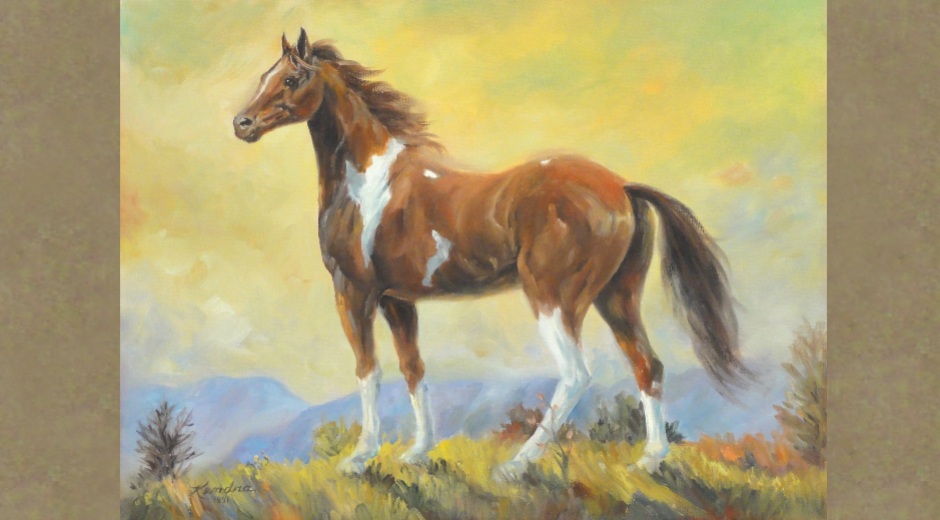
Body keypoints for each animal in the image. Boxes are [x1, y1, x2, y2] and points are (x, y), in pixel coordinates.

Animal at [232, 29, 751, 480]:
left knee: (576, 375)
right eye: (263, 74)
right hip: (617, 298)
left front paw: (359, 457)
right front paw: (417, 453)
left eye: (292, 78)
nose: (242, 124)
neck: (368, 181)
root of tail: (621, 187)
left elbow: (368, 370)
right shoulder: (397, 299)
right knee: (647, 366)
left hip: (554, 299)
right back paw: (649, 462)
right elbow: (413, 369)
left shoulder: (354, 291)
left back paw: (515, 466)